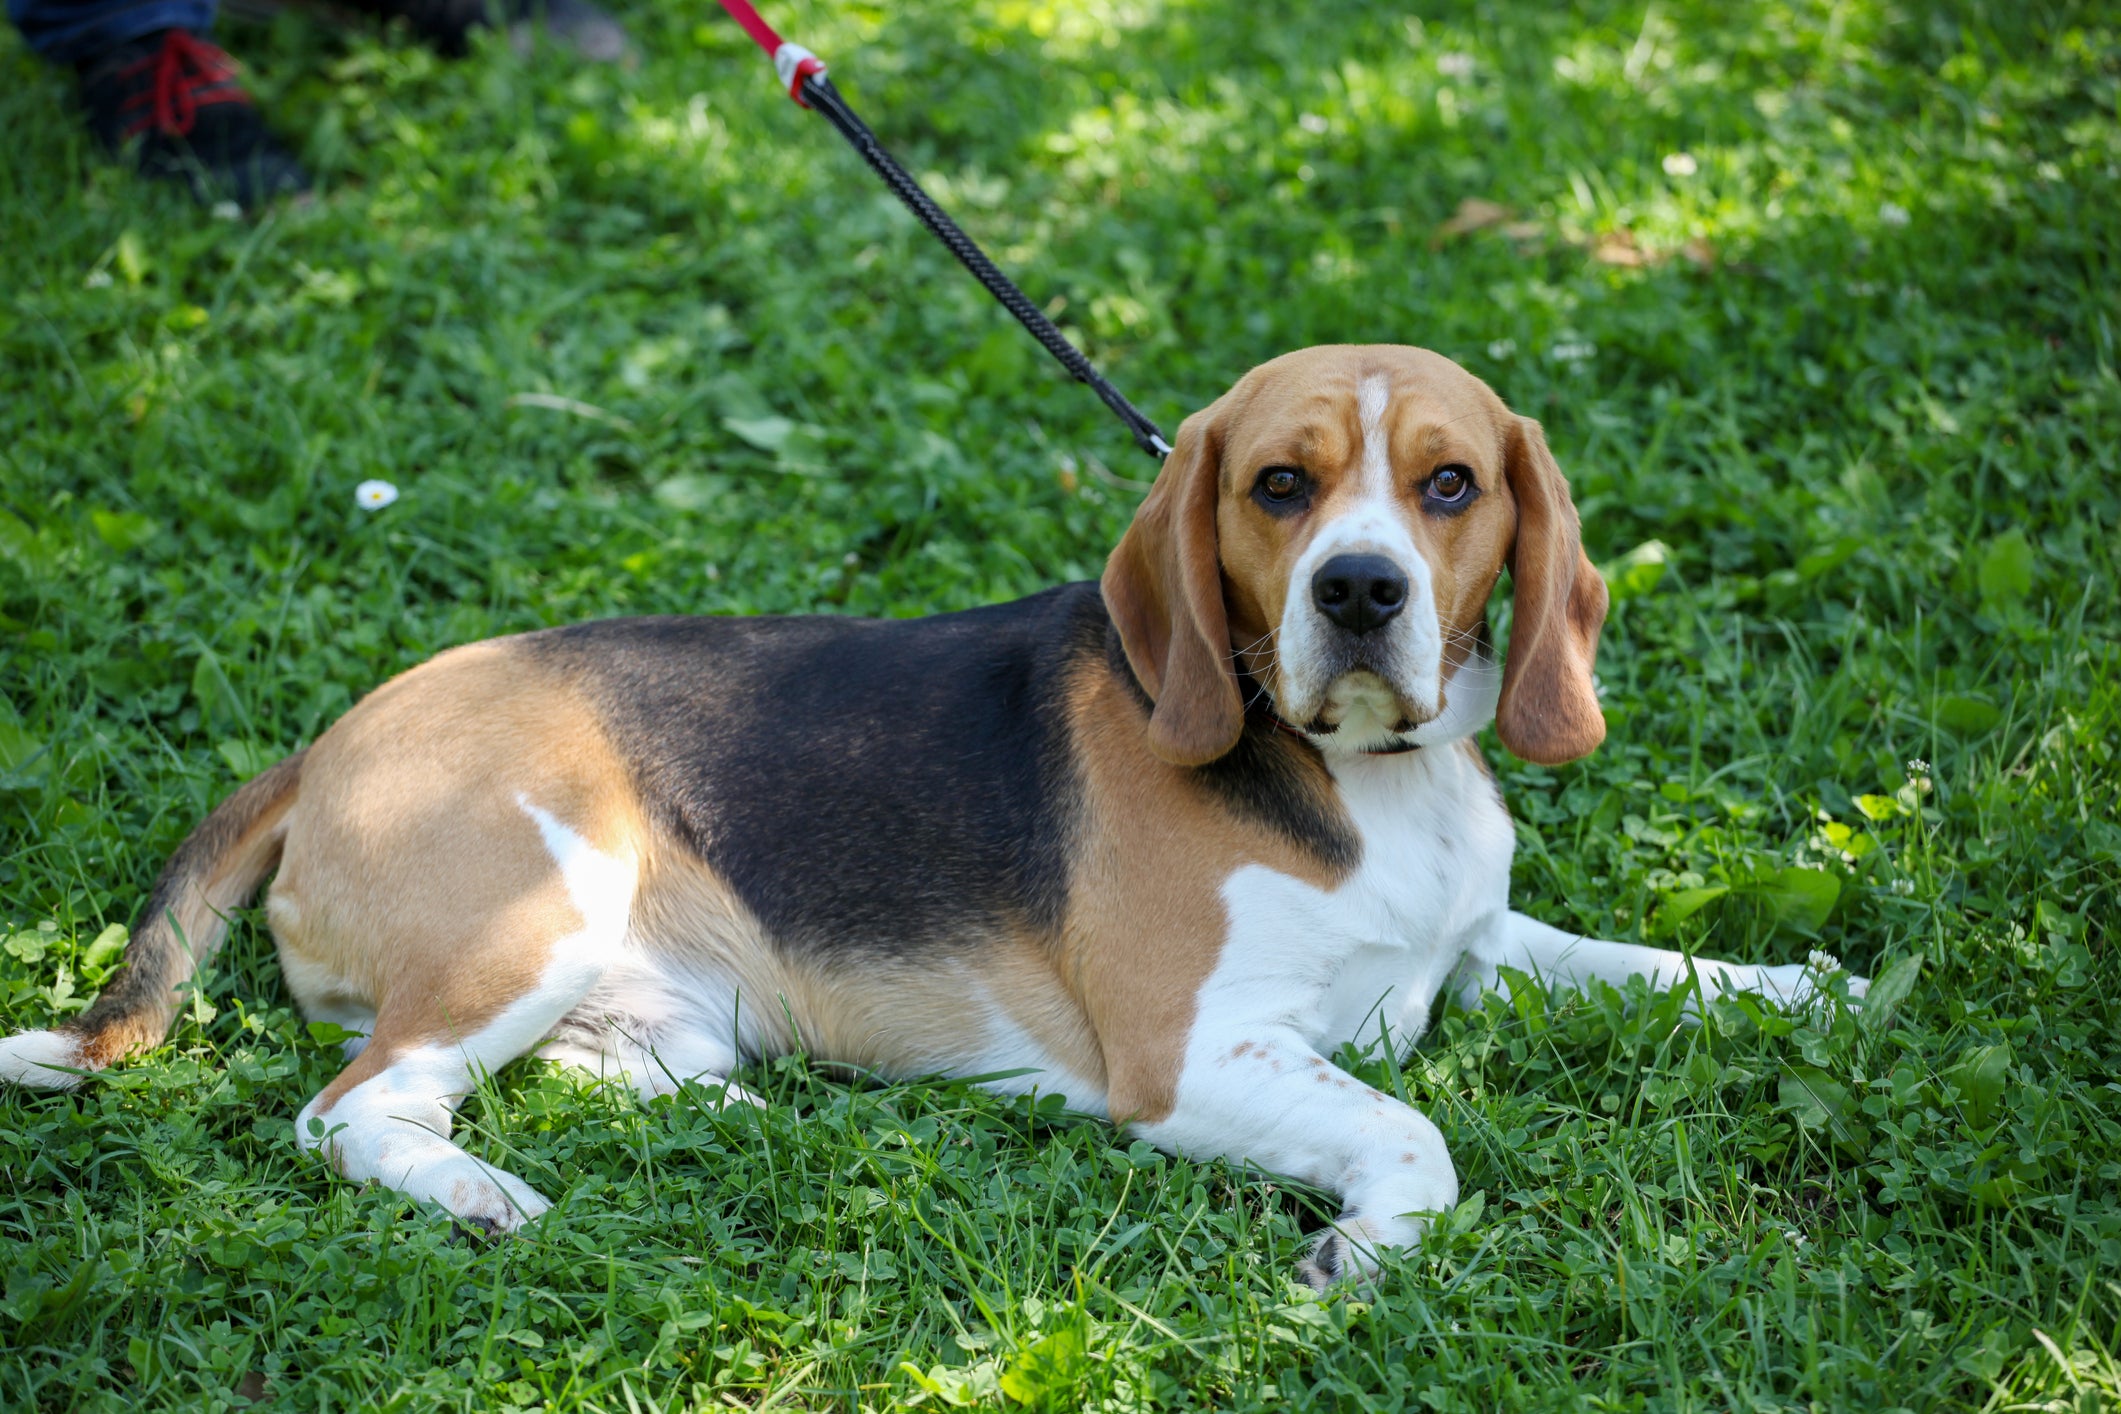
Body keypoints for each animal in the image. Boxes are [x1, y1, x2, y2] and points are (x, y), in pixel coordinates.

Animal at [0, 347, 1857, 1288]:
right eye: (1281, 484)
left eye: (1451, 484)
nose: (1359, 588)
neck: (1359, 772)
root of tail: (326, 743)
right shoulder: (1191, 1057)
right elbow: (1413, 1134)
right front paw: (1356, 1250)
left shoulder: (1471, 940)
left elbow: (1639, 959)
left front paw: (1814, 987)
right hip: (534, 898)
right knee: (354, 1106)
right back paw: (477, 1194)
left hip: (634, 987)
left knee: (587, 1071)